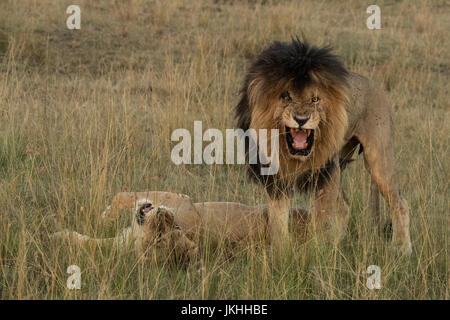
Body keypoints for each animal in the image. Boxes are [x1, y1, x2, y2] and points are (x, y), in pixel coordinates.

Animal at [236, 38, 412, 252]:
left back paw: (402, 248)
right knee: (344, 205)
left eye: (315, 99)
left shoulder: (326, 173)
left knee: (400, 203)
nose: (301, 119)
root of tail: (373, 84)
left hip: (378, 158)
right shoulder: (276, 178)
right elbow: (278, 220)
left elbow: (321, 218)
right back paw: (337, 244)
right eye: (286, 96)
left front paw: (317, 251)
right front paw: (282, 252)